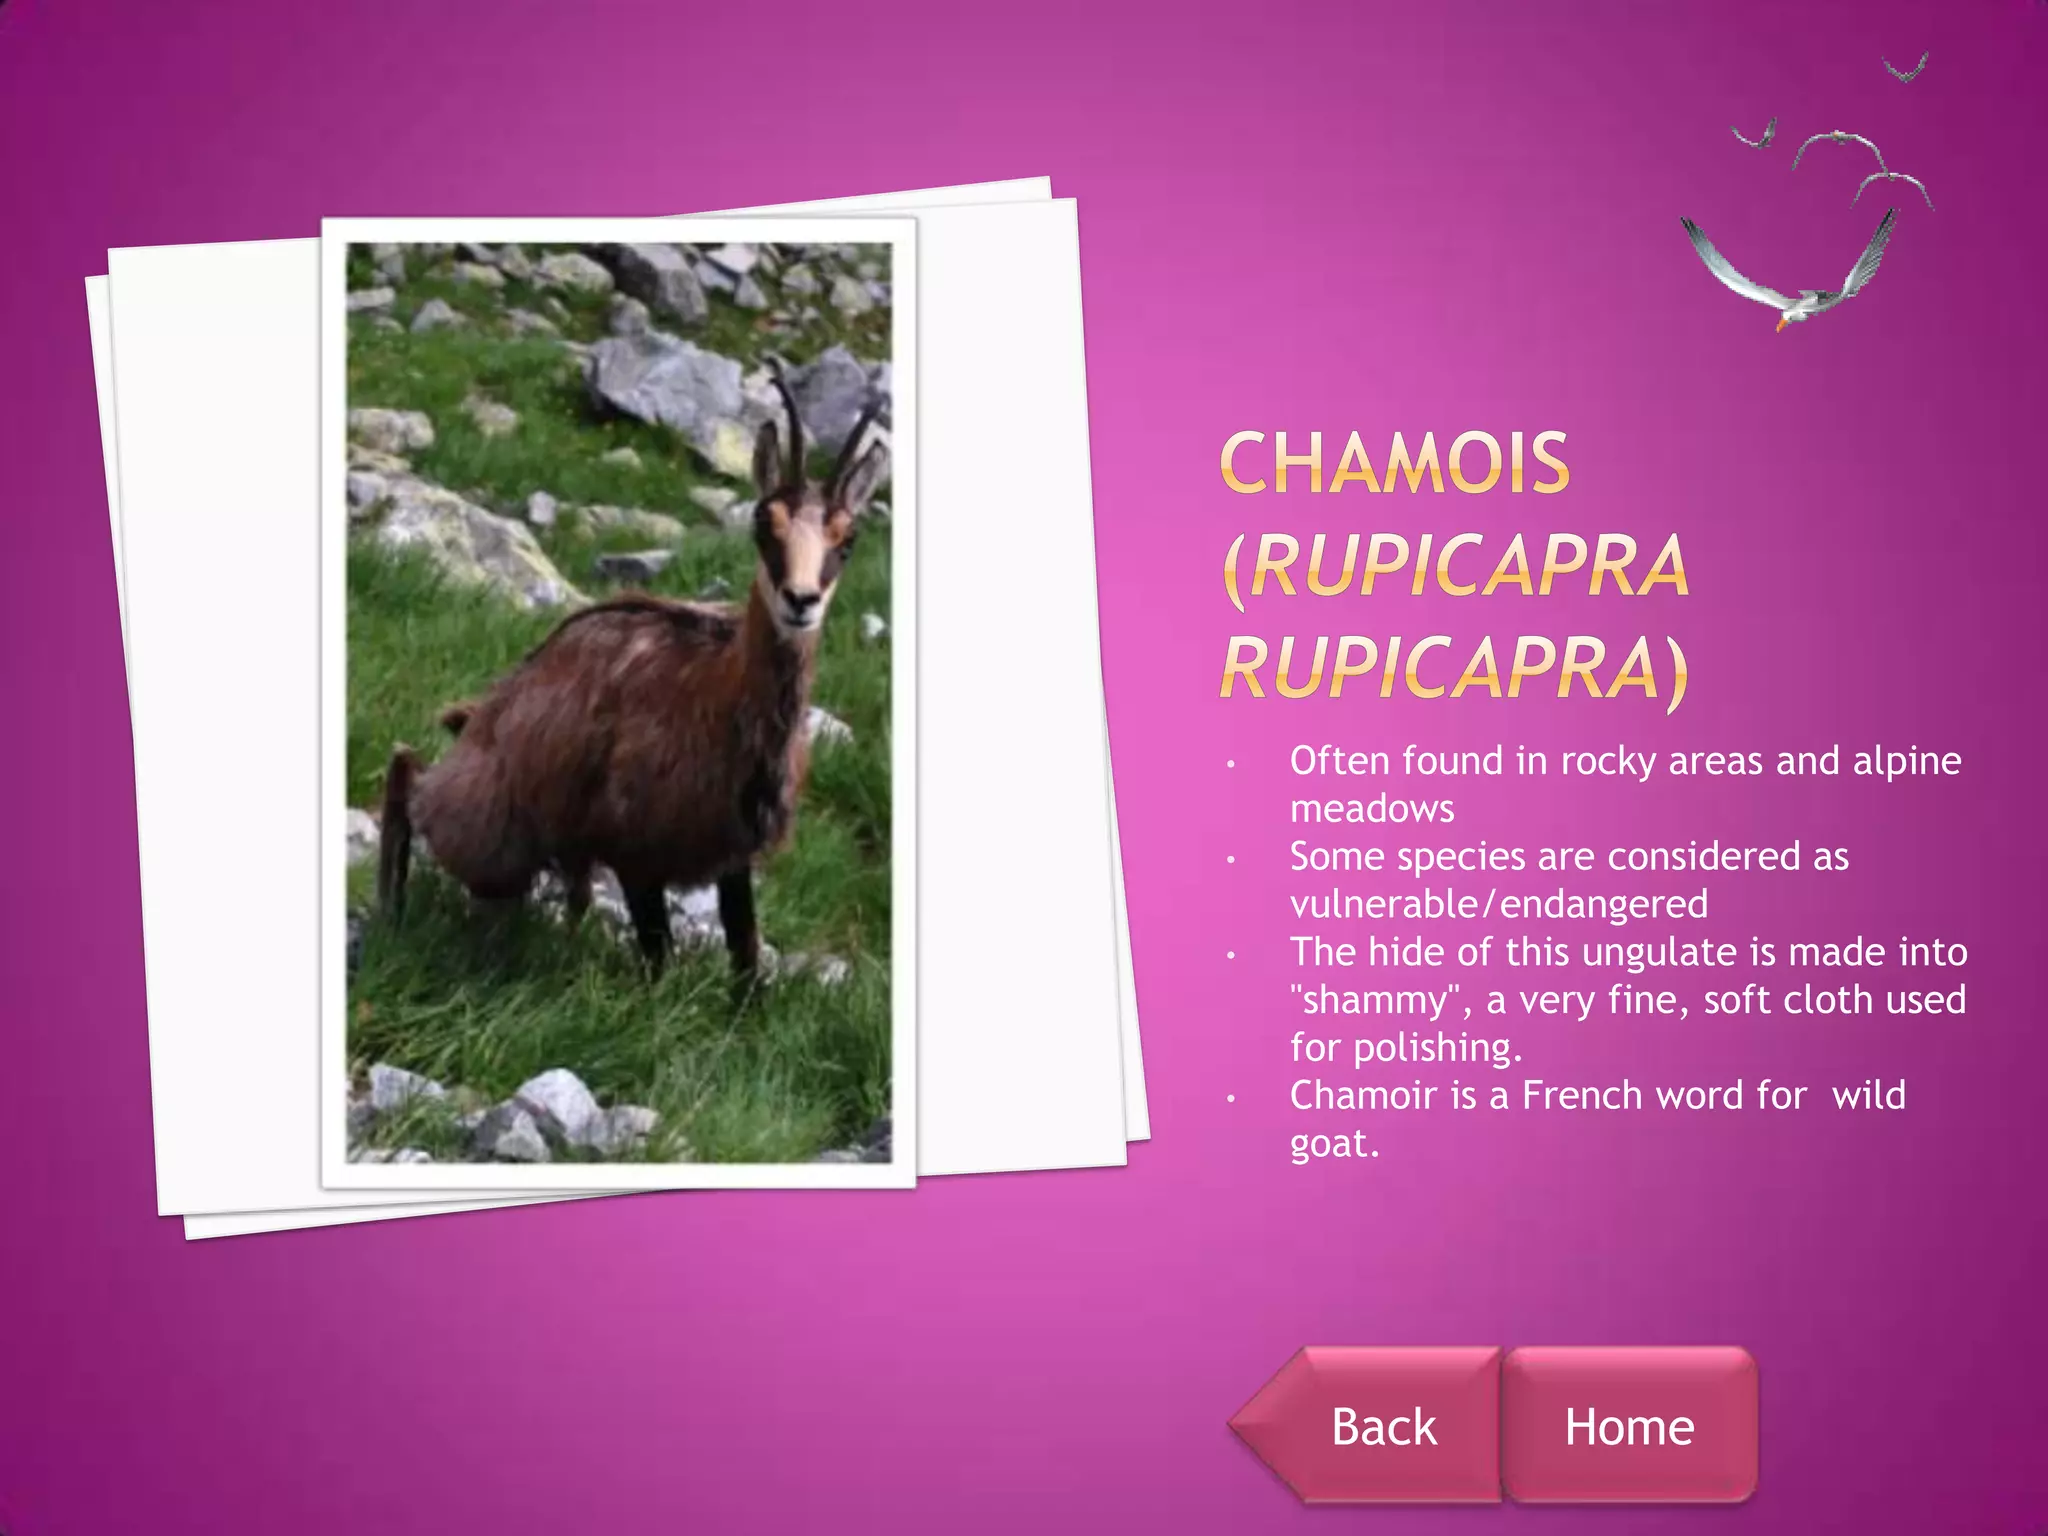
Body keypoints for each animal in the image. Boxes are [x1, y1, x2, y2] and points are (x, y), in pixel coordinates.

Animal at [375, 372, 889, 978]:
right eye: (765, 523)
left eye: (847, 540)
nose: (801, 601)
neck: (719, 694)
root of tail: (485, 712)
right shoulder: (635, 856)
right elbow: (658, 959)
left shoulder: (731, 858)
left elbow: (745, 960)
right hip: (488, 830)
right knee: (407, 773)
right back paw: (391, 905)